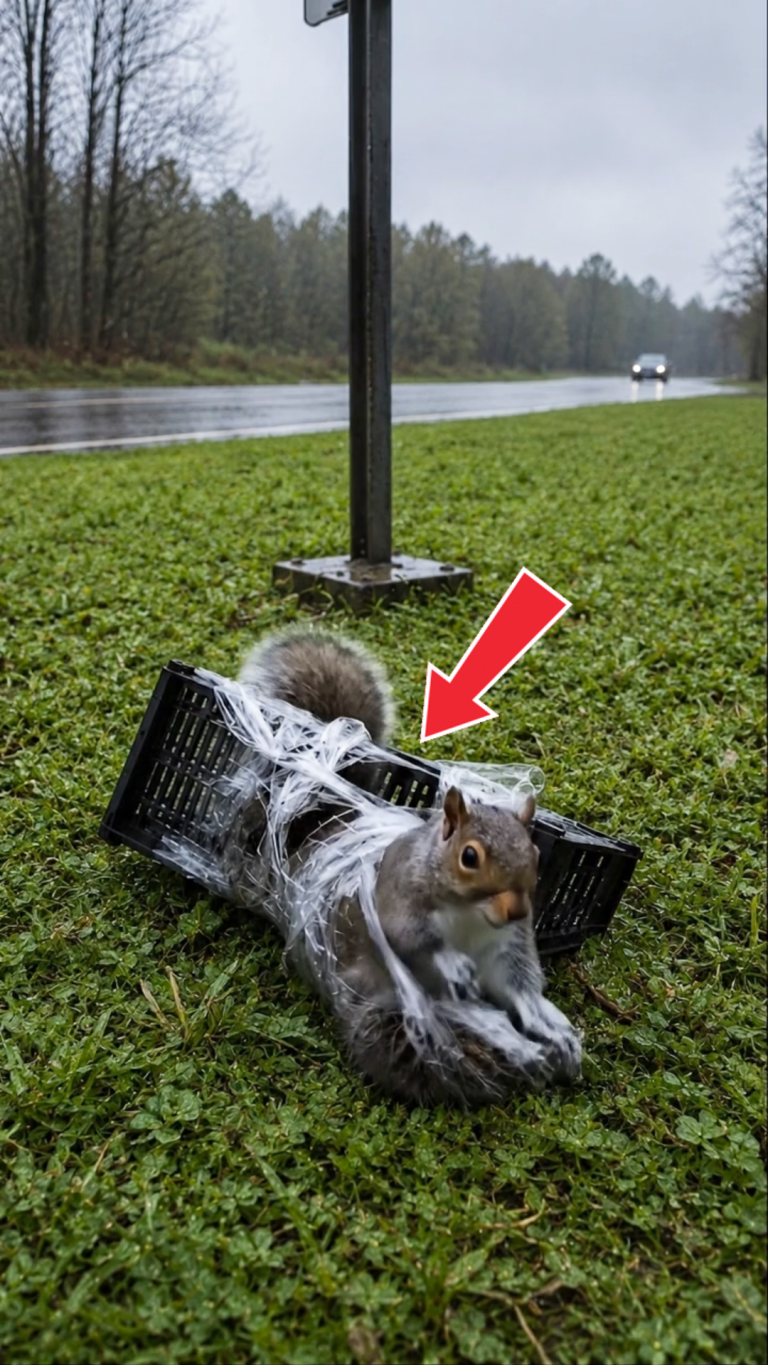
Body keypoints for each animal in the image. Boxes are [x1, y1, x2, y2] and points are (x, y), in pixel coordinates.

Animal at [238, 627, 582, 1105]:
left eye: (534, 855)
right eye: (469, 857)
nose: (515, 909)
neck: (471, 917)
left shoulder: (506, 945)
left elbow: (516, 983)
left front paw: (544, 1020)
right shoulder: (397, 897)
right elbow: (410, 937)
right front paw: (454, 967)